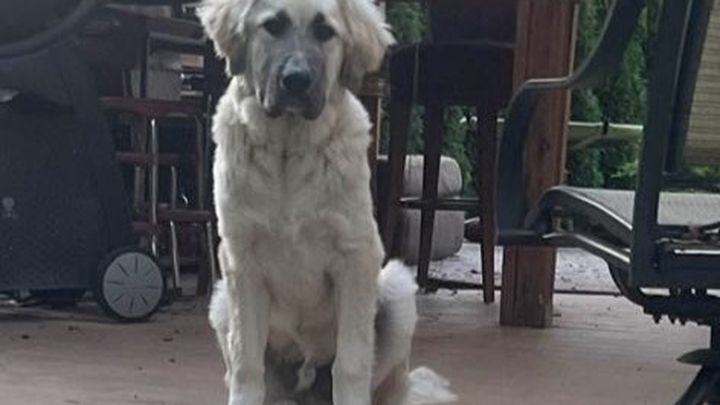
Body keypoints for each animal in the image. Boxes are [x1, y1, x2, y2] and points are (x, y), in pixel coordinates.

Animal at [197, 0, 426, 404]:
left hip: (397, 291)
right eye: (273, 26)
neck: (289, 150)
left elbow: (351, 364)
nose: (296, 81)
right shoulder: (241, 261)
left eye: (325, 32)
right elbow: (246, 364)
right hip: (222, 300)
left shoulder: (356, 256)